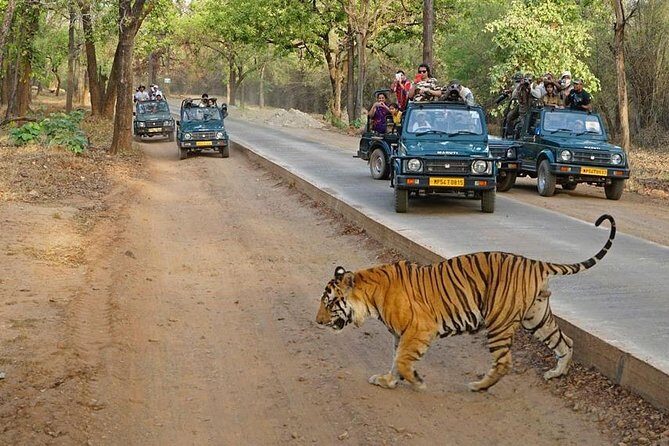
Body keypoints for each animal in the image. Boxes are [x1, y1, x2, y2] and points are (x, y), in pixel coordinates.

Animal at [315, 214, 615, 392]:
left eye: (329, 303)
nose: (317, 322)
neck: (370, 297)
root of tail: (535, 262)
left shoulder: (419, 329)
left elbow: (401, 360)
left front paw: (417, 382)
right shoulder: (400, 334)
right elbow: (395, 359)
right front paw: (387, 380)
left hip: (499, 322)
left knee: (505, 362)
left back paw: (479, 386)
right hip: (537, 318)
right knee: (566, 342)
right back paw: (557, 373)